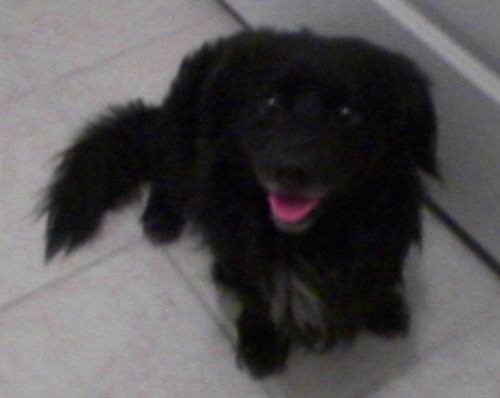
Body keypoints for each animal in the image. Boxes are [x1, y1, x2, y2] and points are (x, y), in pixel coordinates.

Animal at [42, 30, 438, 376]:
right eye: (270, 103)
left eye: (347, 112)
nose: (291, 170)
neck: (311, 238)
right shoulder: (238, 252)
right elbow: (257, 297)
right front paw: (261, 342)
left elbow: (379, 274)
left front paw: (383, 307)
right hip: (182, 138)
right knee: (165, 172)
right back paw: (161, 216)